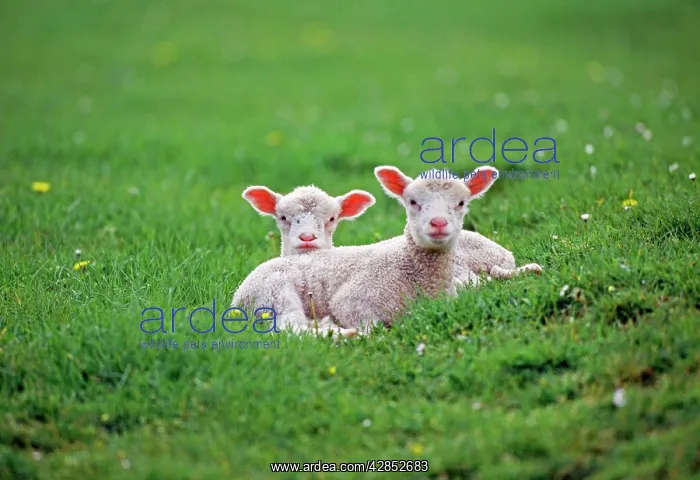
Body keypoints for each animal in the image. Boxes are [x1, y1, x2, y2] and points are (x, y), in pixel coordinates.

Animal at [231, 165, 503, 337]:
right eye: (412, 202)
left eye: (461, 203)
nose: (438, 223)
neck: (410, 269)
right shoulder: (353, 301)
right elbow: (371, 326)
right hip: (273, 295)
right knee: (292, 327)